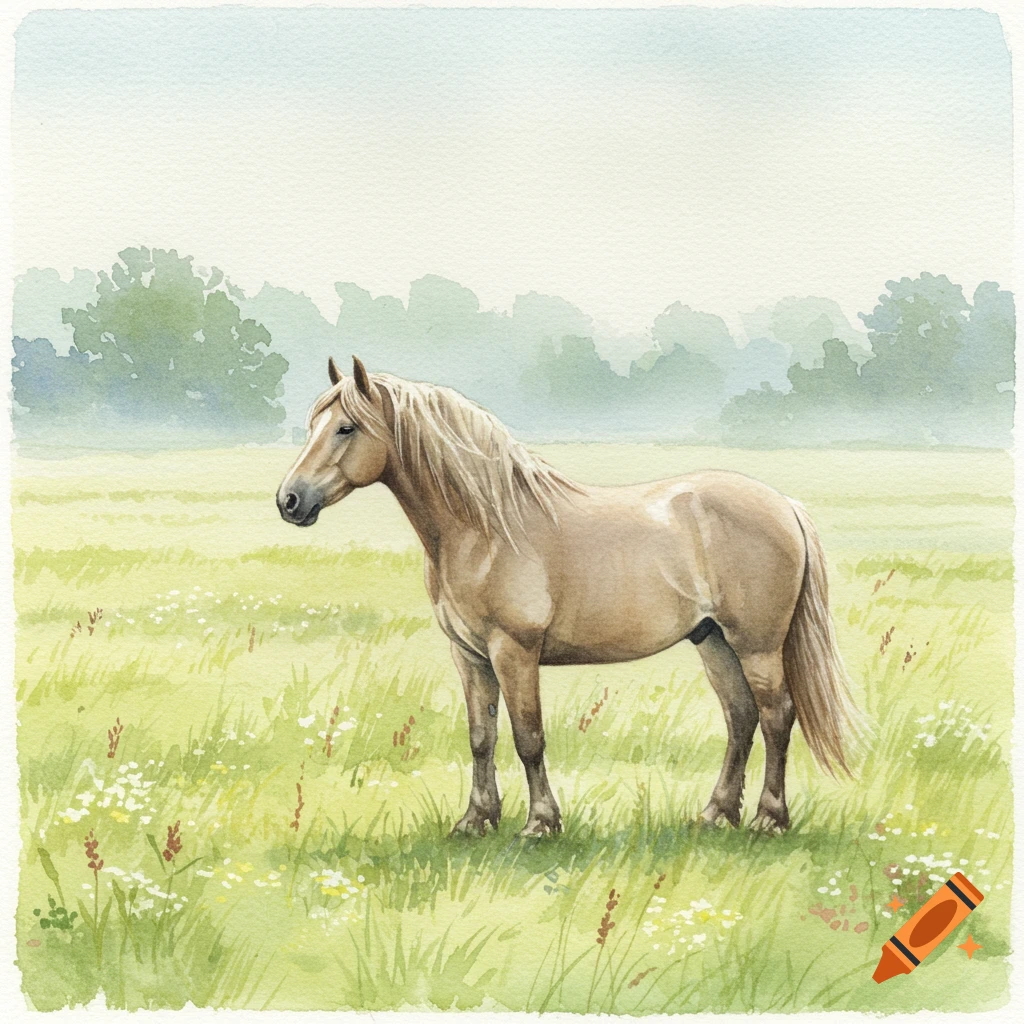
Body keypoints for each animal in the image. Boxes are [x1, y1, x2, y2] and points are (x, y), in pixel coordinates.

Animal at [277, 356, 859, 836]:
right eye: (313, 426)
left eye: (346, 427)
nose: (289, 500)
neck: (484, 530)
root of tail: (783, 504)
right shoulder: (469, 655)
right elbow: (481, 737)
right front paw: (475, 821)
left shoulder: (514, 651)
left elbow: (528, 737)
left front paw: (540, 824)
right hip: (712, 639)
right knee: (741, 717)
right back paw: (716, 814)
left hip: (757, 644)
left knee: (777, 715)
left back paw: (768, 819)